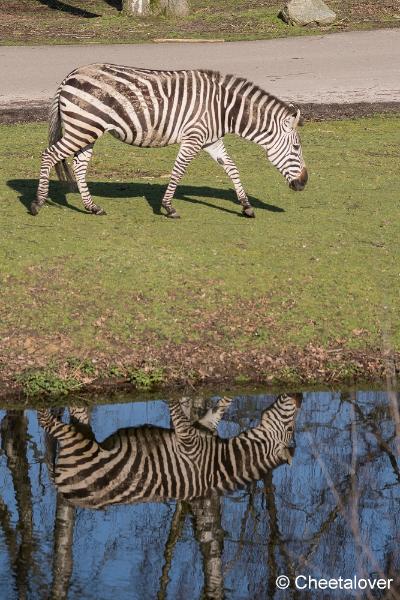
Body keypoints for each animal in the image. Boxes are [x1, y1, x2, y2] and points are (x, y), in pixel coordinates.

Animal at [31, 65, 308, 218]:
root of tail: (70, 75)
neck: (223, 109)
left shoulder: (211, 140)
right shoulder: (193, 137)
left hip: (87, 129)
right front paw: (168, 207)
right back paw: (37, 203)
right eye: (296, 147)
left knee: (78, 165)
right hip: (82, 128)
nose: (304, 183)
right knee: (49, 155)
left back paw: (92, 207)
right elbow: (179, 170)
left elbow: (232, 168)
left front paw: (246, 206)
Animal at [37, 396, 302, 508]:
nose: (300, 396)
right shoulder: (201, 428)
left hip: (80, 443)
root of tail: (63, 492)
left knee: (47, 421)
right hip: (82, 437)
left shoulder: (188, 440)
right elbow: (222, 405)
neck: (220, 463)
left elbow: (179, 410)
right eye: (291, 427)